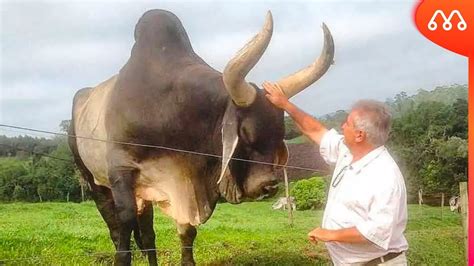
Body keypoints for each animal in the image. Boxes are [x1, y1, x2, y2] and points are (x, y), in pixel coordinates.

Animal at [68, 9, 334, 264]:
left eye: (280, 133)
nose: (268, 186)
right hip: (93, 181)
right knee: (115, 229)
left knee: (148, 234)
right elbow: (124, 231)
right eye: (245, 132)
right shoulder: (121, 172)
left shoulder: (185, 183)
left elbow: (186, 233)